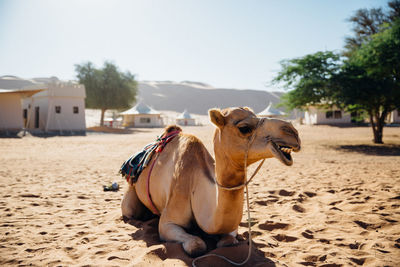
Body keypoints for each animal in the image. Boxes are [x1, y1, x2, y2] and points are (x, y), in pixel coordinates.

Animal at [122, 107, 300, 258]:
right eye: (244, 128)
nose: (293, 132)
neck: (195, 184)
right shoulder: (168, 221)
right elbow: (196, 245)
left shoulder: (230, 227)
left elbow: (228, 240)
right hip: (130, 198)